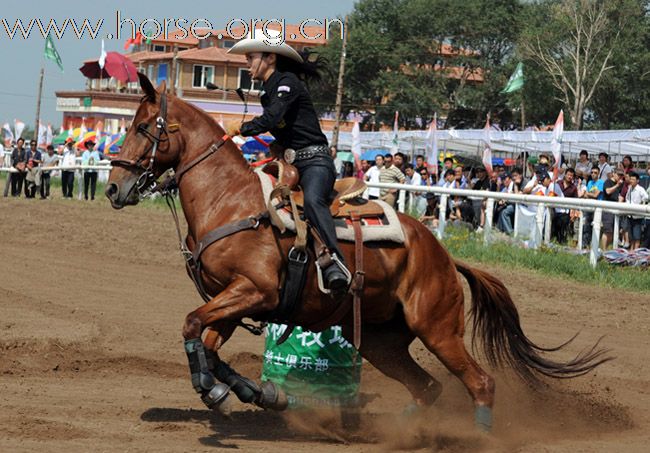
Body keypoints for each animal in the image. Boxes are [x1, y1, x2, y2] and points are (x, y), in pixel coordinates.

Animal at [105, 75, 608, 430]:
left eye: (144, 127)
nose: (114, 187)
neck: (230, 201)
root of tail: (444, 256)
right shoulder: (229, 301)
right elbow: (207, 347)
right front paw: (255, 394)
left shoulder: (253, 292)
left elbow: (192, 326)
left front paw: (220, 392)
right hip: (385, 342)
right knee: (427, 388)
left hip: (438, 329)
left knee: (480, 382)